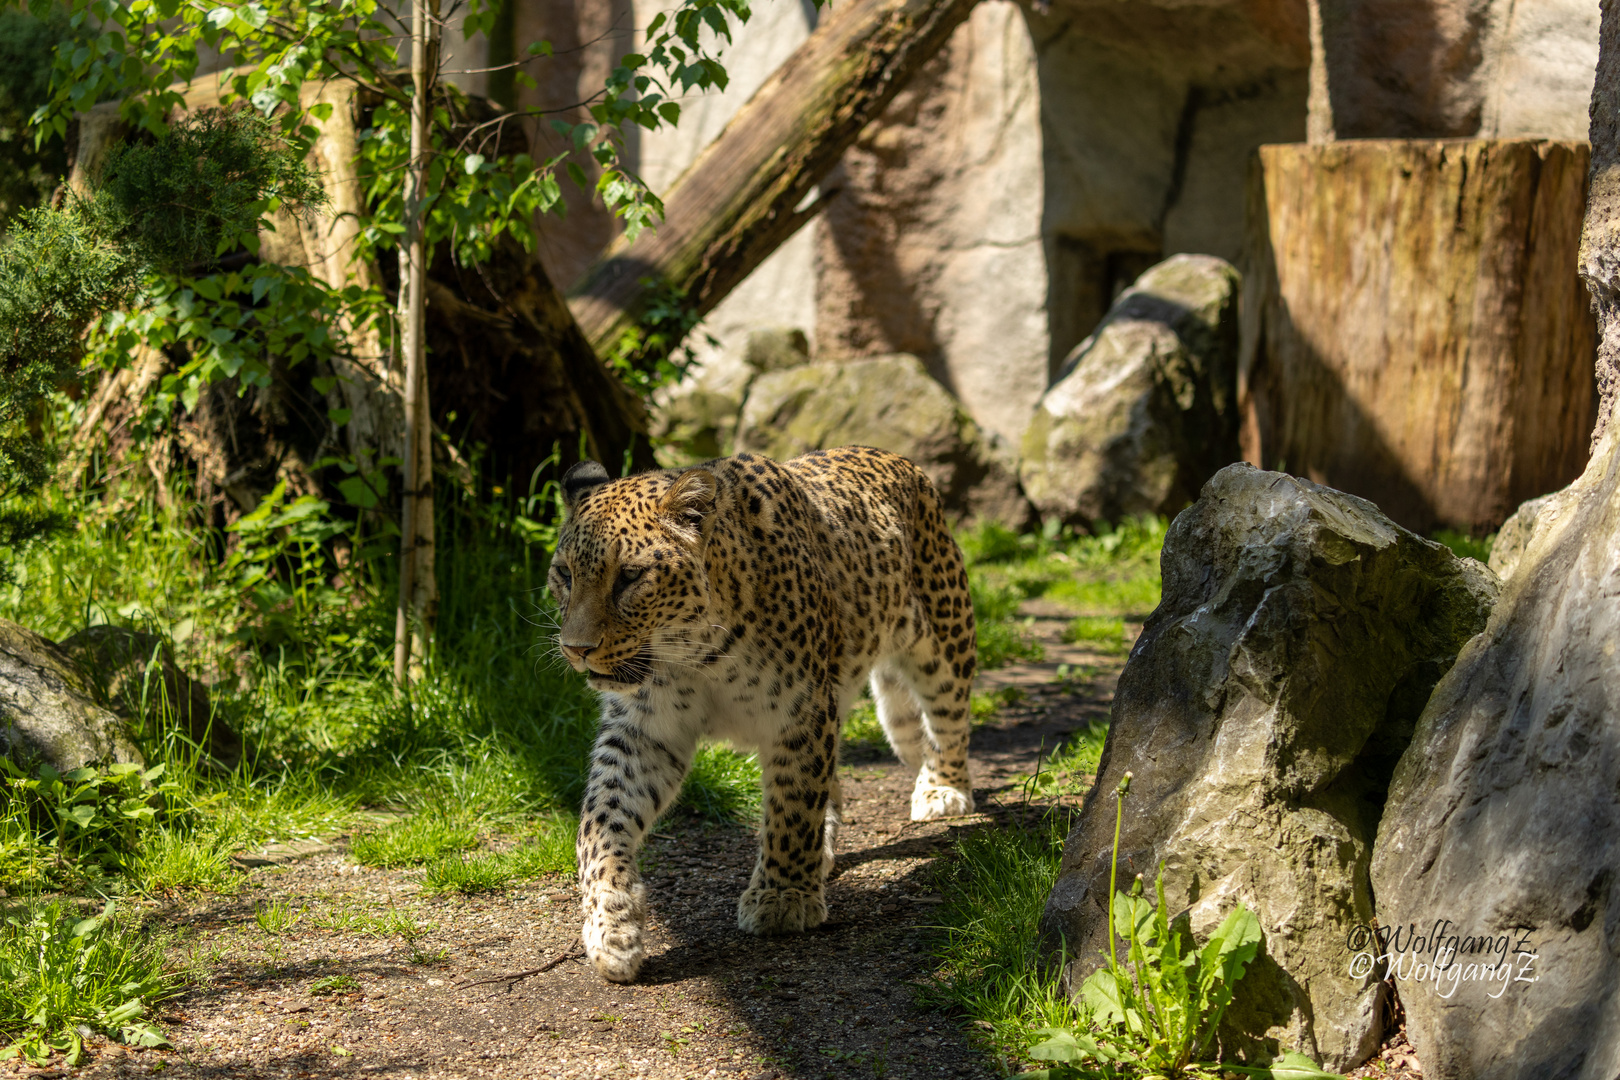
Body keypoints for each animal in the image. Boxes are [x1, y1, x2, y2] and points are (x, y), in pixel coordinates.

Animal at [547, 443, 972, 984]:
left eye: (630, 577)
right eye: (564, 574)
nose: (576, 649)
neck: (696, 655)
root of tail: (898, 458)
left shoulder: (801, 712)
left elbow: (793, 806)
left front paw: (783, 898)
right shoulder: (645, 730)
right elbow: (601, 820)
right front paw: (612, 924)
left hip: (944, 637)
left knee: (948, 720)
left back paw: (943, 790)